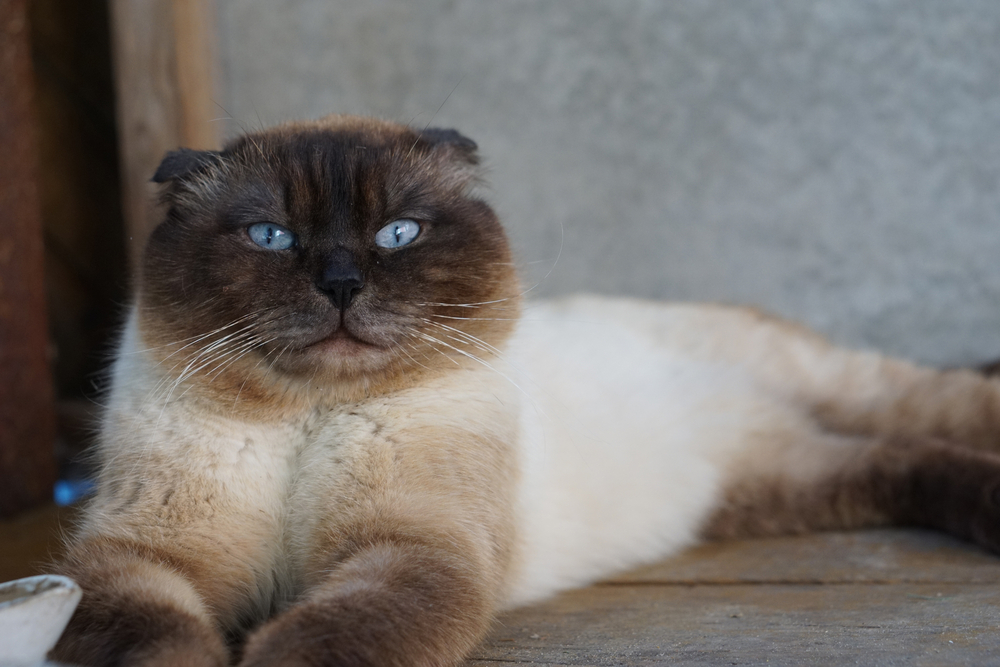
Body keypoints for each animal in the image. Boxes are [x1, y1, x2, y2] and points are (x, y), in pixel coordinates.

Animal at [50, 115, 1000, 667]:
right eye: (270, 236)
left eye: (399, 233)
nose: (342, 283)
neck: (308, 419)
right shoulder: (146, 557)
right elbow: (154, 636)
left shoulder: (410, 548)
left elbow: (333, 634)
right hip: (783, 481)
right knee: (902, 460)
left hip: (843, 393)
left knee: (943, 411)